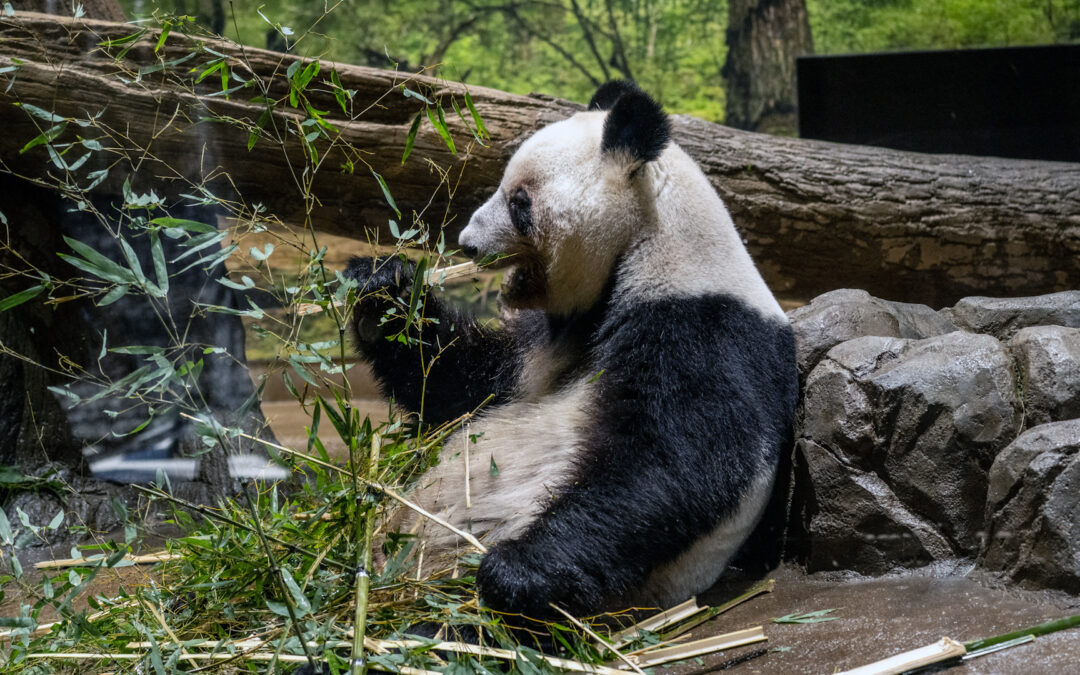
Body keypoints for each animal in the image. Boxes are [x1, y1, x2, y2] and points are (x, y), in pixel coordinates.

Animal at [346, 80, 798, 618]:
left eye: (519, 201)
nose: (468, 243)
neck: (645, 245)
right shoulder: (545, 341)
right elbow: (463, 387)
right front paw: (381, 290)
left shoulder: (703, 328)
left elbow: (679, 463)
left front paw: (514, 570)